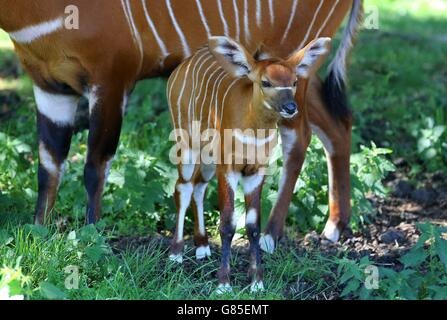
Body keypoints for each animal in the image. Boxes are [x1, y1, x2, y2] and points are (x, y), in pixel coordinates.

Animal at [0, 0, 364, 242]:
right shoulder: (50, 85)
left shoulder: (112, 78)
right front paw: (39, 232)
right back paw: (334, 227)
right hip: (288, 74)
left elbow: (94, 166)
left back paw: (271, 236)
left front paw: (92, 235)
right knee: (338, 124)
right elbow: (48, 165)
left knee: (299, 137)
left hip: (290, 64)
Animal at [166, 35, 330, 292]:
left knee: (199, 186)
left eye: (294, 81)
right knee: (183, 187)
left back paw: (202, 247)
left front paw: (257, 282)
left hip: (208, 157)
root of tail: (182, 66)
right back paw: (176, 254)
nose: (290, 107)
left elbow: (253, 225)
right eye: (266, 82)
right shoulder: (228, 169)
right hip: (187, 145)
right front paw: (223, 284)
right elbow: (227, 223)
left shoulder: (256, 171)